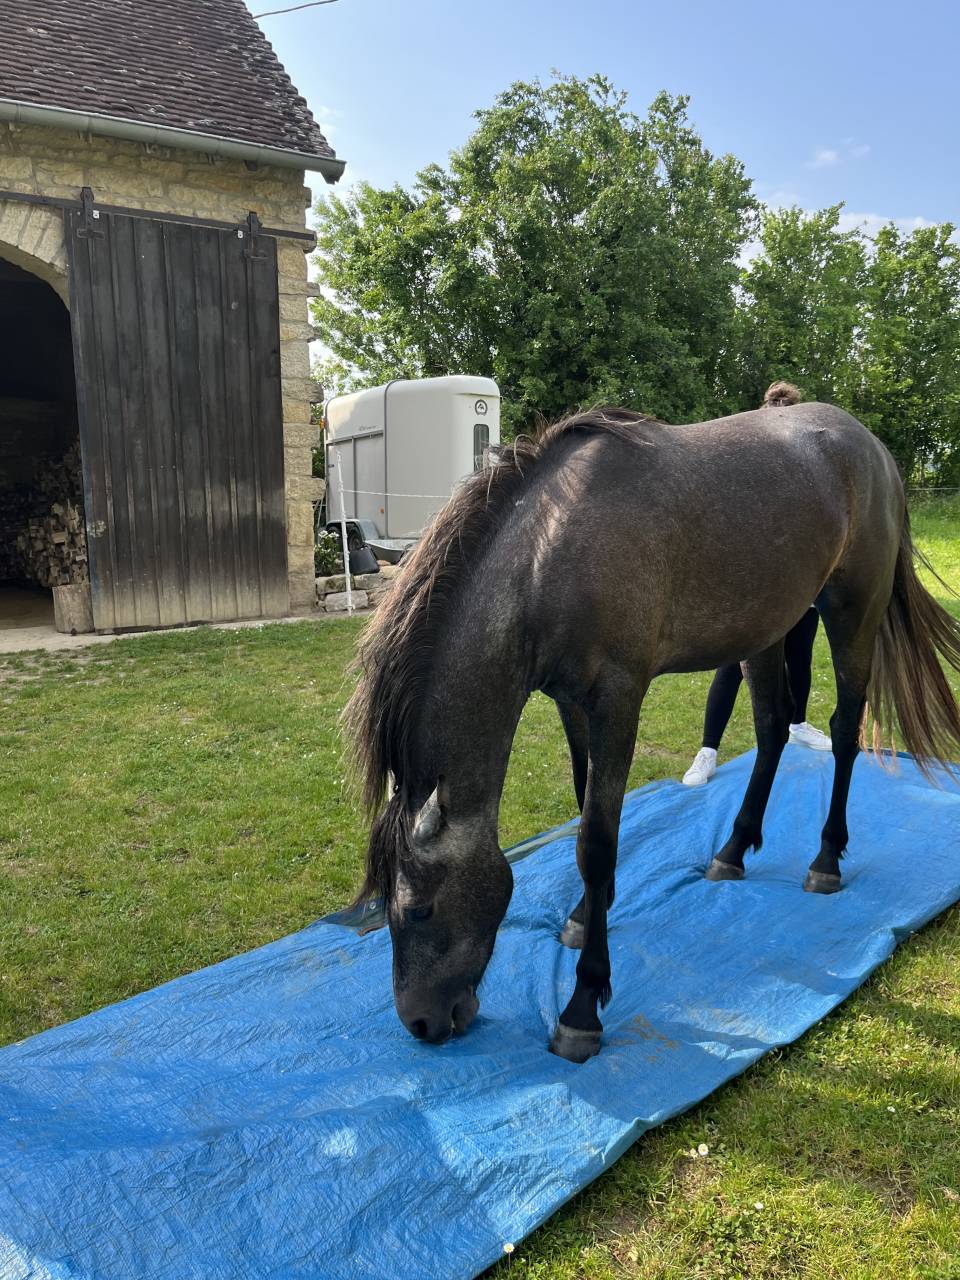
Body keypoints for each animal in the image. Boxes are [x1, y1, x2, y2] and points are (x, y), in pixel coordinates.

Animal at [344, 392, 960, 1063]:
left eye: (419, 909)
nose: (420, 1023)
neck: (551, 553)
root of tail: (870, 447)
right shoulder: (571, 703)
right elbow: (587, 809)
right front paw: (584, 916)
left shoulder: (618, 699)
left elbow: (596, 842)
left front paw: (583, 1005)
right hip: (767, 631)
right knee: (772, 731)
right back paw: (731, 852)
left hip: (852, 613)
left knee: (845, 731)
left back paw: (825, 861)